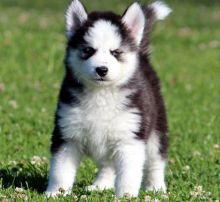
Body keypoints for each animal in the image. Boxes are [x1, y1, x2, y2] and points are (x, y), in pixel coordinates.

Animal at [45, 0, 172, 197]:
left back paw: (156, 187)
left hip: (156, 129)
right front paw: (56, 193)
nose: (101, 70)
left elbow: (128, 173)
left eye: (115, 52)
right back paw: (101, 185)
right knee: (108, 164)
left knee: (155, 162)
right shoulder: (67, 135)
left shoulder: (130, 139)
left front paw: (126, 196)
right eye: (88, 50)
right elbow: (60, 170)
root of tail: (142, 56)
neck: (101, 94)